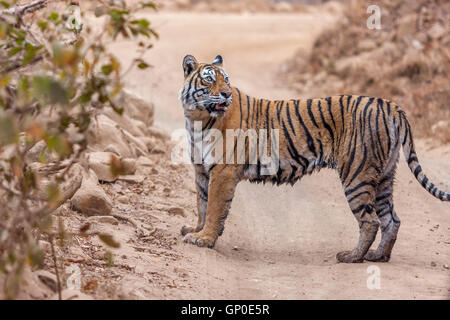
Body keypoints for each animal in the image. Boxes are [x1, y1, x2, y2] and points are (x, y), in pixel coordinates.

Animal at [179, 54, 450, 262]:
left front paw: (203, 239)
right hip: (384, 176)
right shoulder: (202, 171)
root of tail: (390, 105)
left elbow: (214, 207)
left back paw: (353, 257)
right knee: (391, 220)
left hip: (357, 174)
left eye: (226, 80)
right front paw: (195, 230)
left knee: (370, 221)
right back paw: (378, 256)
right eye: (209, 79)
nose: (226, 94)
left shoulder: (222, 172)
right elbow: (202, 204)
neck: (197, 120)